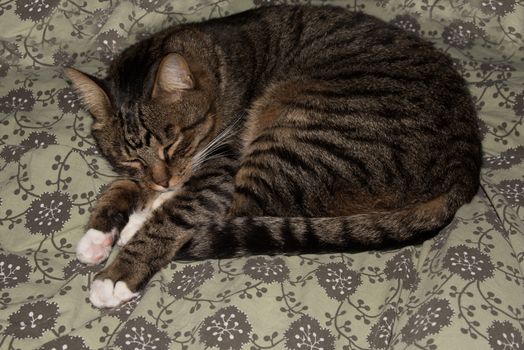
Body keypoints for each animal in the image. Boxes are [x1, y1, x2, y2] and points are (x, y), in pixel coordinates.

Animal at [65, 4, 484, 306]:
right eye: (131, 158)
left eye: (173, 144)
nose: (163, 178)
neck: (221, 68)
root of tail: (465, 171)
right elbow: (122, 186)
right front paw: (99, 233)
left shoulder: (221, 163)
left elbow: (180, 211)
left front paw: (117, 274)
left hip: (296, 138)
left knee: (240, 207)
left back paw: (138, 225)